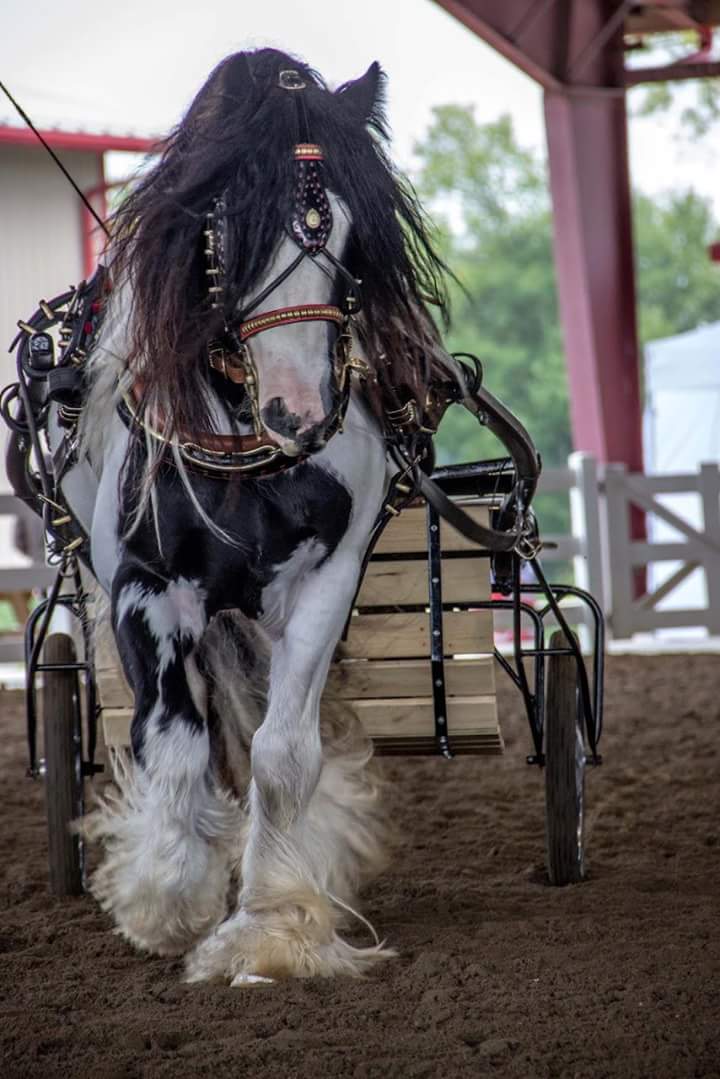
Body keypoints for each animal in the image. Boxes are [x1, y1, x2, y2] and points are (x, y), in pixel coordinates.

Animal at [57, 50, 455, 984]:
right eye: (229, 226)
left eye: (346, 236)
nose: (299, 415)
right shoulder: (146, 586)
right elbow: (176, 746)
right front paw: (168, 900)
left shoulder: (328, 576)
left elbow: (282, 750)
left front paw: (273, 921)